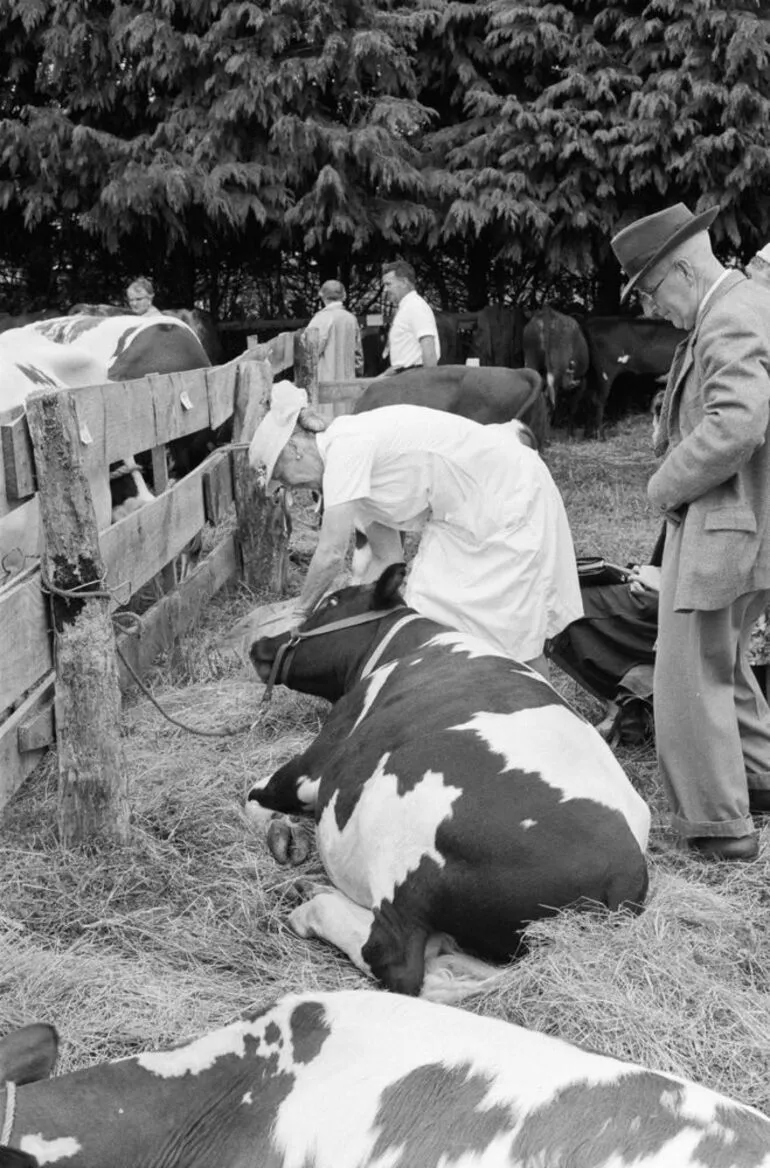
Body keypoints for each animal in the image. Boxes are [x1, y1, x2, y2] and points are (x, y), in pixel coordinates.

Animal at [248, 567, 649, 1004]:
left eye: (331, 603)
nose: (259, 645)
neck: (407, 641)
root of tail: (625, 874)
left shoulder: (317, 763)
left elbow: (256, 797)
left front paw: (281, 833)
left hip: (405, 846)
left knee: (395, 959)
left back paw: (314, 906)